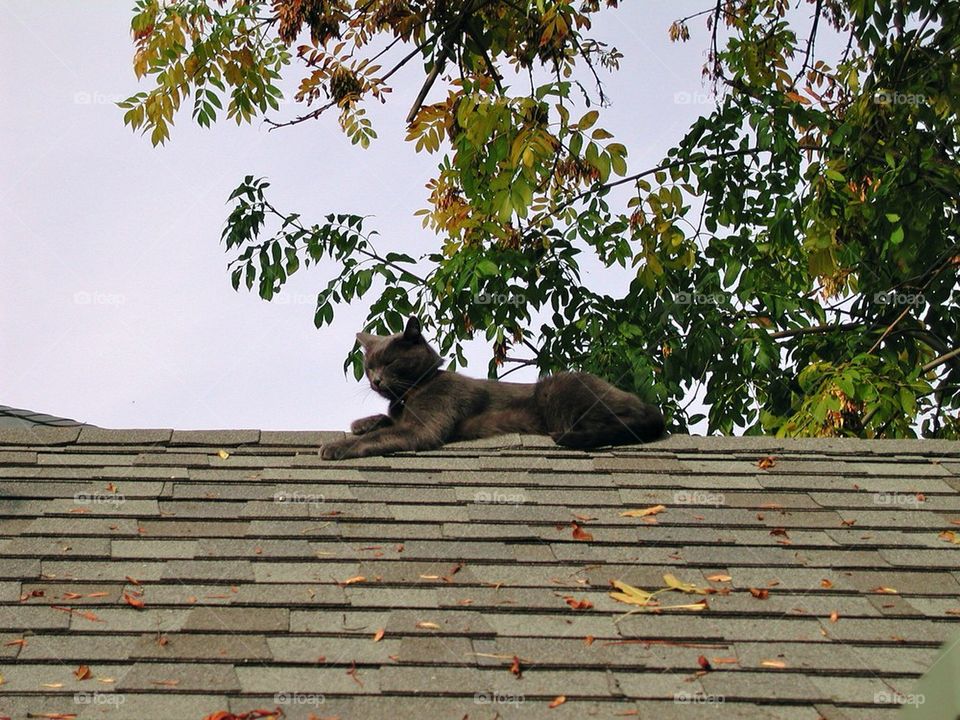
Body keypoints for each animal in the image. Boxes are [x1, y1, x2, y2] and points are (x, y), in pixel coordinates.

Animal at [318, 316, 664, 462]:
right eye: (369, 366)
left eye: (389, 362)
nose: (376, 380)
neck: (410, 394)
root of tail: (649, 406)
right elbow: (385, 420)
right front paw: (363, 423)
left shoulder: (421, 427)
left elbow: (383, 435)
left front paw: (336, 446)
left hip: (560, 387)